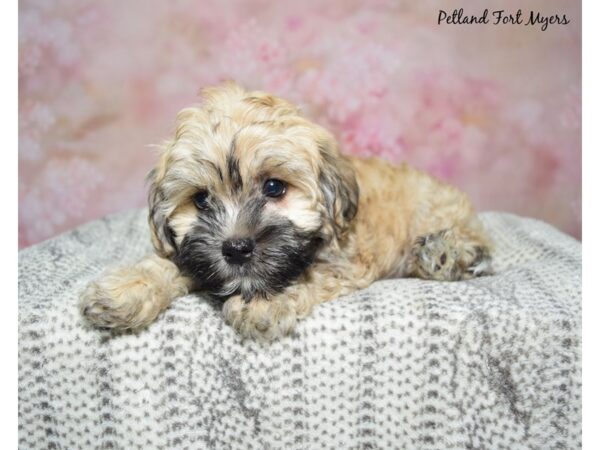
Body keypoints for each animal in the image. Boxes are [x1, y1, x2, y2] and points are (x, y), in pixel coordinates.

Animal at [79, 82, 492, 340]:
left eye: (274, 188)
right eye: (200, 200)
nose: (236, 249)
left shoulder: (344, 260)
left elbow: (309, 275)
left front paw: (264, 302)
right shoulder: (196, 254)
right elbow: (168, 264)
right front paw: (125, 290)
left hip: (436, 209)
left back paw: (446, 252)